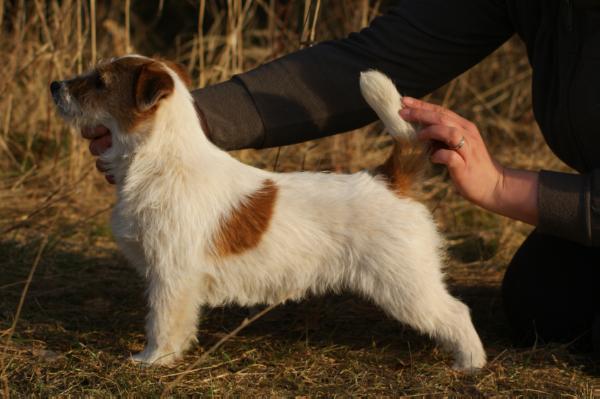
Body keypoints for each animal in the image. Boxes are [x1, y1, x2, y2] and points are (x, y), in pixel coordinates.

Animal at [49, 56, 486, 372]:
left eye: (99, 82)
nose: (55, 85)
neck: (162, 160)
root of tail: (388, 180)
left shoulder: (170, 275)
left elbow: (162, 321)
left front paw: (153, 359)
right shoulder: (176, 278)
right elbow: (182, 323)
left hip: (406, 285)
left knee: (457, 312)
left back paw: (469, 364)